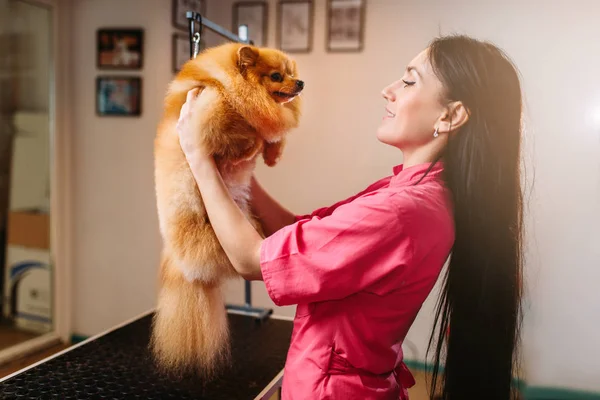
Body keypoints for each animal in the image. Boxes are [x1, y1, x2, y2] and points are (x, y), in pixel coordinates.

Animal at [148, 42, 302, 380]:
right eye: (276, 76)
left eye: (292, 73)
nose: (300, 83)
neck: (229, 86)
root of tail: (181, 265)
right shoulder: (211, 109)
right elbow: (244, 134)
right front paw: (252, 147)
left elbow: (272, 134)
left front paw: (272, 153)